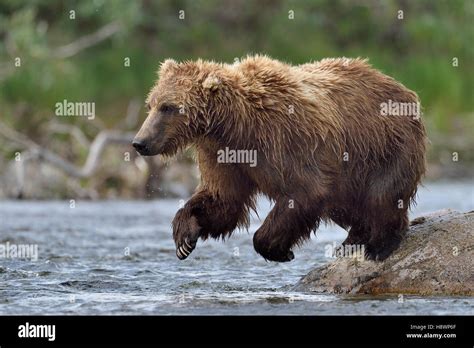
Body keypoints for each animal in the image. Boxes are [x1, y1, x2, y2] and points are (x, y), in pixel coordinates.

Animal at [132, 55, 426, 260]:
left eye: (168, 107)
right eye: (150, 104)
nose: (139, 142)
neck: (236, 126)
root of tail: (401, 87)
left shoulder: (285, 139)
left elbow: (306, 191)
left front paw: (278, 249)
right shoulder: (222, 155)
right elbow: (223, 199)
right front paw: (184, 237)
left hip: (383, 146)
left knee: (381, 195)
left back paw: (378, 245)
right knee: (345, 204)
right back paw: (354, 239)